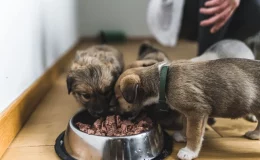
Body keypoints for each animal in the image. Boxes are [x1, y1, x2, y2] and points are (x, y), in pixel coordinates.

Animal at [115, 58, 260, 160]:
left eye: (118, 98)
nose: (120, 118)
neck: (162, 80)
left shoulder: (196, 111)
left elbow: (193, 133)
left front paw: (189, 151)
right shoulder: (187, 112)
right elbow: (186, 126)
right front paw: (182, 135)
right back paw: (255, 134)